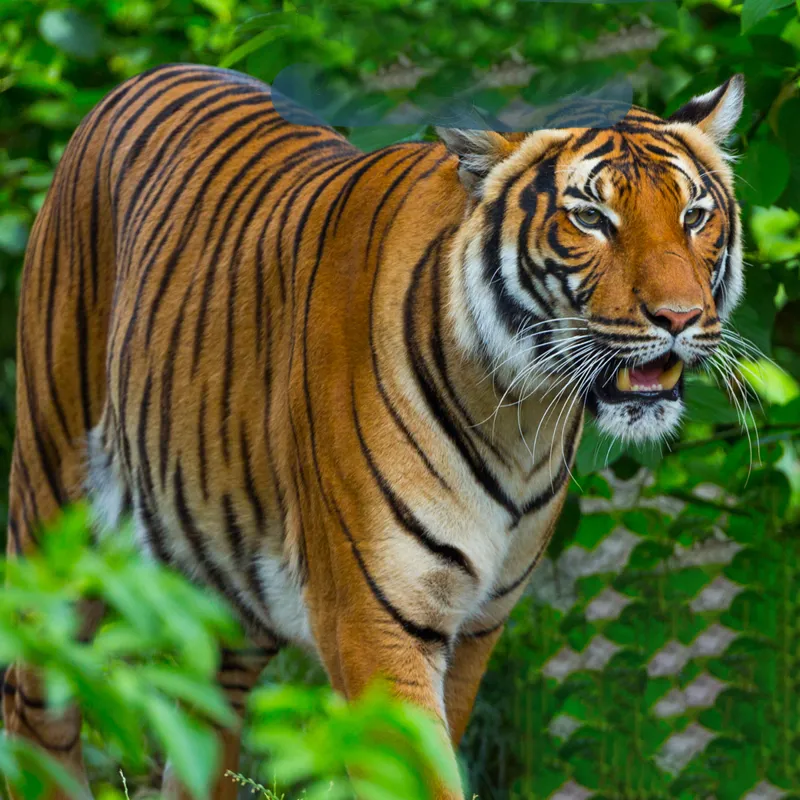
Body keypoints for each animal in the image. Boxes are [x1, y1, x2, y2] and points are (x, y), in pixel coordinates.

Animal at [3, 62, 745, 800]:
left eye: (694, 216)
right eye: (590, 218)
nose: (679, 317)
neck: (522, 416)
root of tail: (145, 77)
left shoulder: (478, 627)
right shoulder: (375, 619)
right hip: (55, 516)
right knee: (33, 709)